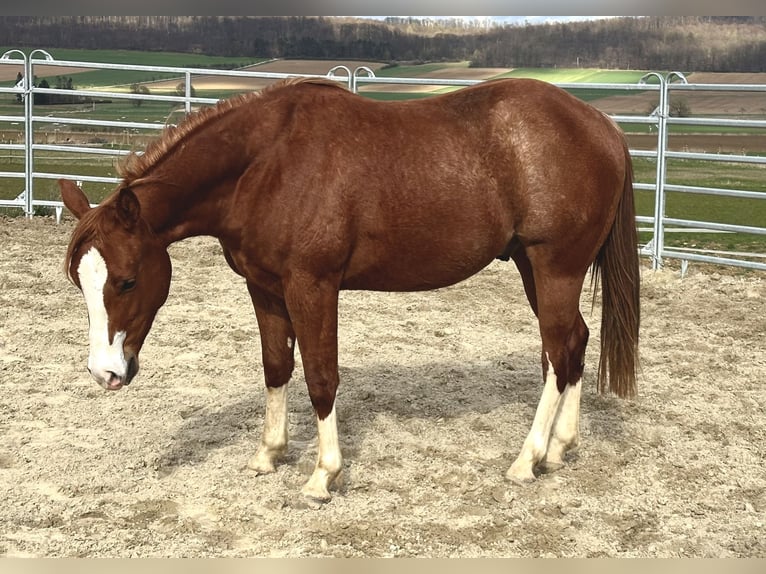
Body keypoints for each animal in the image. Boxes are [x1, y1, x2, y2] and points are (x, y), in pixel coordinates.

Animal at [60, 77, 640, 502]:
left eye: (127, 279)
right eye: (79, 282)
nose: (105, 373)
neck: (266, 165)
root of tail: (603, 127)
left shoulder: (312, 287)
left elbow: (321, 378)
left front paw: (323, 475)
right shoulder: (264, 288)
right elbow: (277, 367)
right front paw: (268, 454)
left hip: (555, 267)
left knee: (558, 352)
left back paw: (527, 459)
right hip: (531, 265)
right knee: (573, 344)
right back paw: (560, 448)